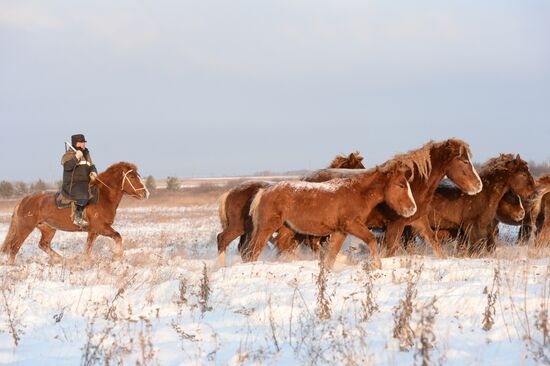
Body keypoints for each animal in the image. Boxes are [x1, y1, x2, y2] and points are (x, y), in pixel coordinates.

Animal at [1, 162, 150, 264]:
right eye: (132, 176)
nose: (145, 193)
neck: (102, 197)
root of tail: (23, 200)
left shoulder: (94, 231)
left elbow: (88, 248)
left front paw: (82, 260)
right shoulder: (101, 227)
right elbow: (117, 236)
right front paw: (118, 255)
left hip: (48, 229)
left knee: (43, 244)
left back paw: (62, 260)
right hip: (25, 228)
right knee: (14, 247)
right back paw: (12, 266)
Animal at [216, 150, 366, 264]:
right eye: (359, 168)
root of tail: (229, 193)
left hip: (248, 230)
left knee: (243, 247)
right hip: (238, 226)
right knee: (223, 239)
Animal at [243, 162, 418, 268]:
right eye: (401, 185)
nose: (412, 209)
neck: (356, 193)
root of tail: (265, 191)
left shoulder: (340, 231)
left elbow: (332, 253)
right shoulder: (352, 225)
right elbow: (371, 239)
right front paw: (377, 265)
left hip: (288, 227)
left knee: (281, 243)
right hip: (267, 227)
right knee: (254, 250)